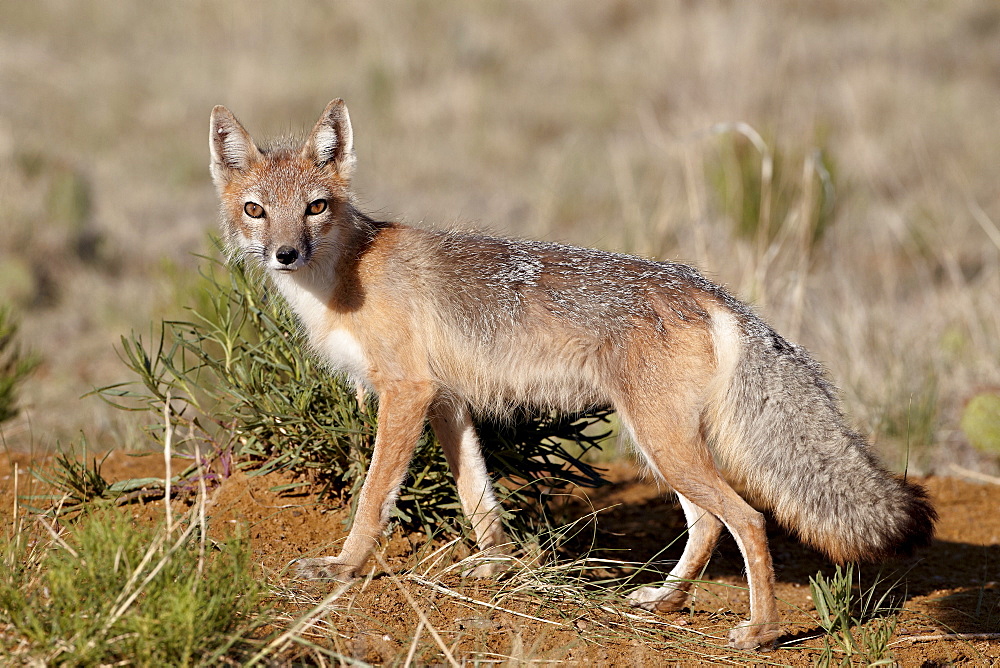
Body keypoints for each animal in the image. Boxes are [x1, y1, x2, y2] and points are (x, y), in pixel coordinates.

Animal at [209, 100, 936, 652]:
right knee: (706, 523)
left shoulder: (405, 394)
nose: (284, 253)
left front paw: (343, 568)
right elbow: (478, 497)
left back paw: (759, 632)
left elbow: (372, 498)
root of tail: (708, 290)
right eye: (254, 210)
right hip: (660, 446)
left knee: (748, 519)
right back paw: (666, 602)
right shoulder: (446, 403)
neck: (343, 278)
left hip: (662, 443)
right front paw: (495, 566)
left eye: (314, 207)